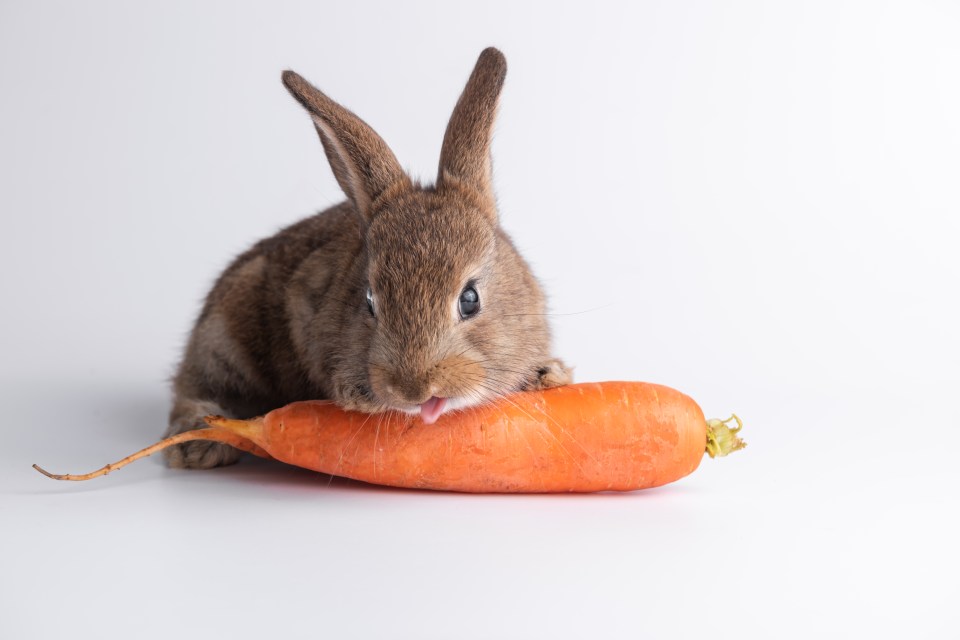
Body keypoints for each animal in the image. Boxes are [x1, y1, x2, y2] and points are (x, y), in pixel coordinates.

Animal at [164, 47, 568, 468]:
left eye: (470, 299)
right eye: (370, 301)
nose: (414, 389)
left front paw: (546, 374)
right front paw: (359, 395)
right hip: (221, 340)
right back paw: (197, 444)